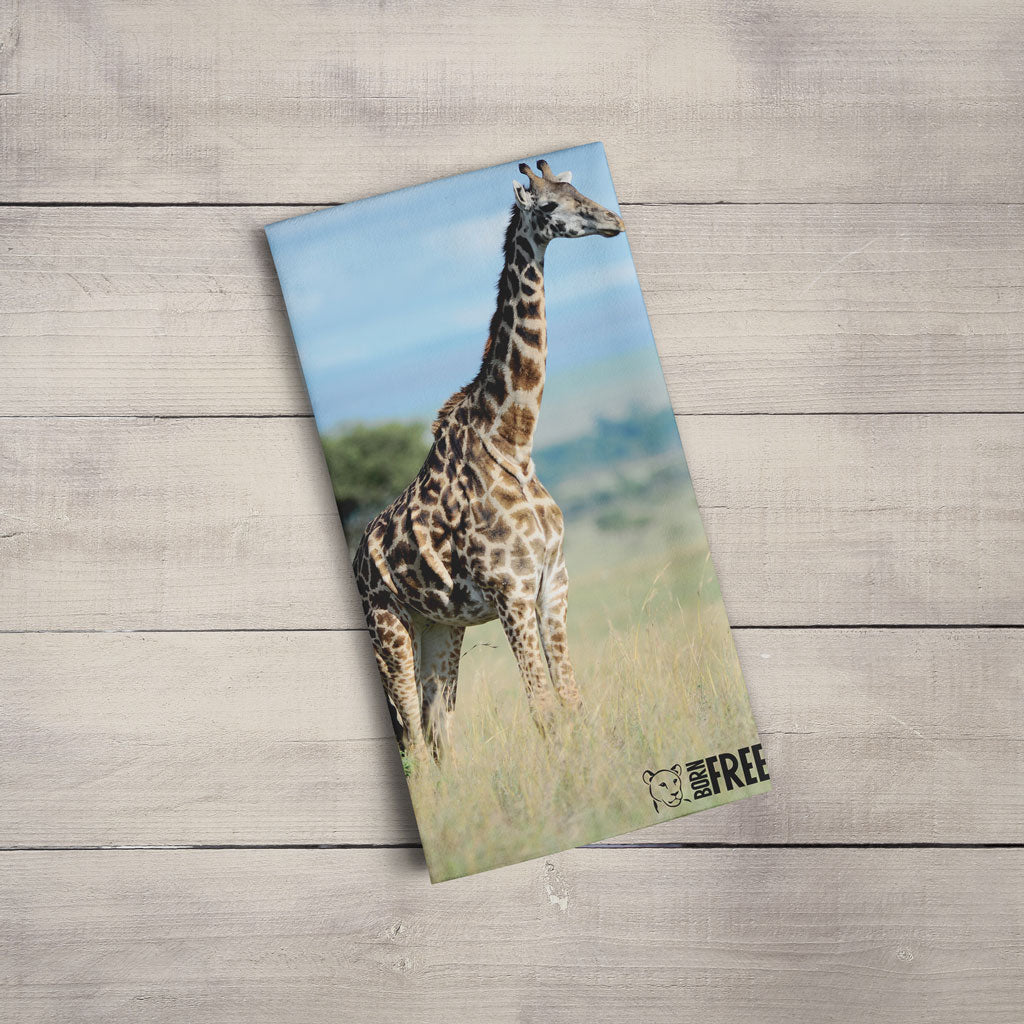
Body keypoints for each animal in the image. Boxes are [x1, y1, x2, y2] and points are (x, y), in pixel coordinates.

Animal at [353, 159, 625, 763]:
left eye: (576, 187)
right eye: (548, 205)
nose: (613, 220)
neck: (513, 444)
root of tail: (356, 563)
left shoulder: (554, 583)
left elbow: (572, 701)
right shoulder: (511, 594)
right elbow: (544, 711)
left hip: (437, 626)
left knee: (437, 730)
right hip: (387, 629)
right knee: (411, 733)